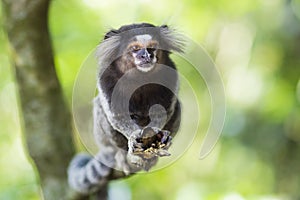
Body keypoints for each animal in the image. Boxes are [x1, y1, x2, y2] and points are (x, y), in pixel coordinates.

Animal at [68, 23, 183, 194]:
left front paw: (159, 134)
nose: (146, 56)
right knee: (100, 107)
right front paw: (133, 137)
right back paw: (122, 154)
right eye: (135, 49)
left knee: (177, 107)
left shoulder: (171, 74)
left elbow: (165, 110)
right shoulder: (106, 78)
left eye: (152, 48)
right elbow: (116, 114)